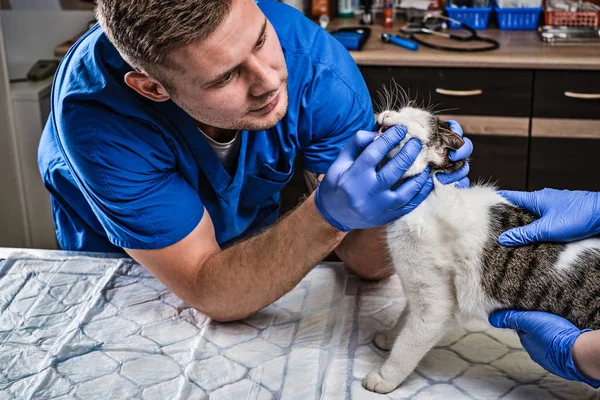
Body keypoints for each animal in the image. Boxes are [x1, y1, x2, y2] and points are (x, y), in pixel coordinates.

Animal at [364, 104, 600, 394]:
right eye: (402, 109)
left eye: (409, 119)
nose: (386, 115)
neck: (425, 197)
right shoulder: (422, 285)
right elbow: (404, 318)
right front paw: (389, 337)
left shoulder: (436, 304)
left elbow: (409, 344)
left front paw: (384, 376)